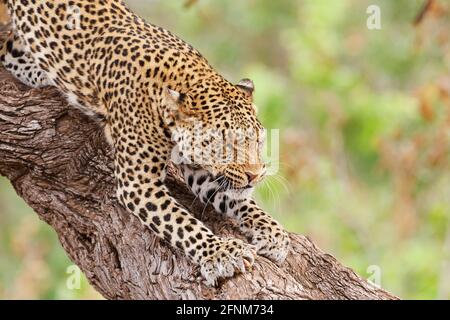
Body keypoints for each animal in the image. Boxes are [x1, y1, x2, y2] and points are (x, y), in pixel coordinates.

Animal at [0, 0, 290, 284]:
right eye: (223, 144)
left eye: (258, 141)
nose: (256, 175)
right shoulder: (138, 184)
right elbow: (182, 224)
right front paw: (221, 253)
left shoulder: (202, 172)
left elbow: (241, 201)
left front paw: (273, 233)